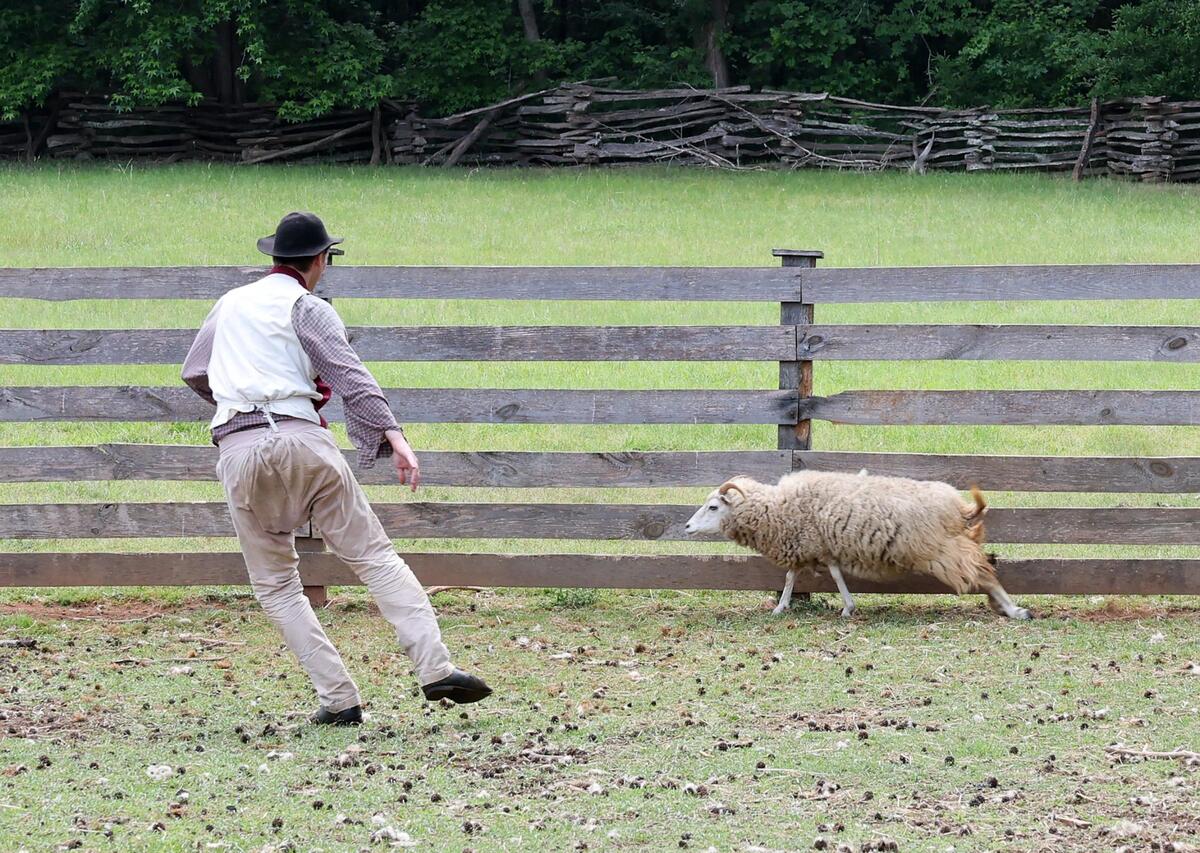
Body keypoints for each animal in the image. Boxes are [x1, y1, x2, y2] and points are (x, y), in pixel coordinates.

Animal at [683, 470, 1030, 620]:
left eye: (713, 507)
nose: (686, 527)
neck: (778, 507)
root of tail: (958, 508)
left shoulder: (813, 543)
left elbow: (821, 576)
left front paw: (846, 609)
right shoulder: (815, 546)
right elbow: (800, 576)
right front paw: (783, 606)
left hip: (940, 550)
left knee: (983, 572)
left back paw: (1014, 610)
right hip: (951, 543)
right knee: (983, 563)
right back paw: (1002, 605)